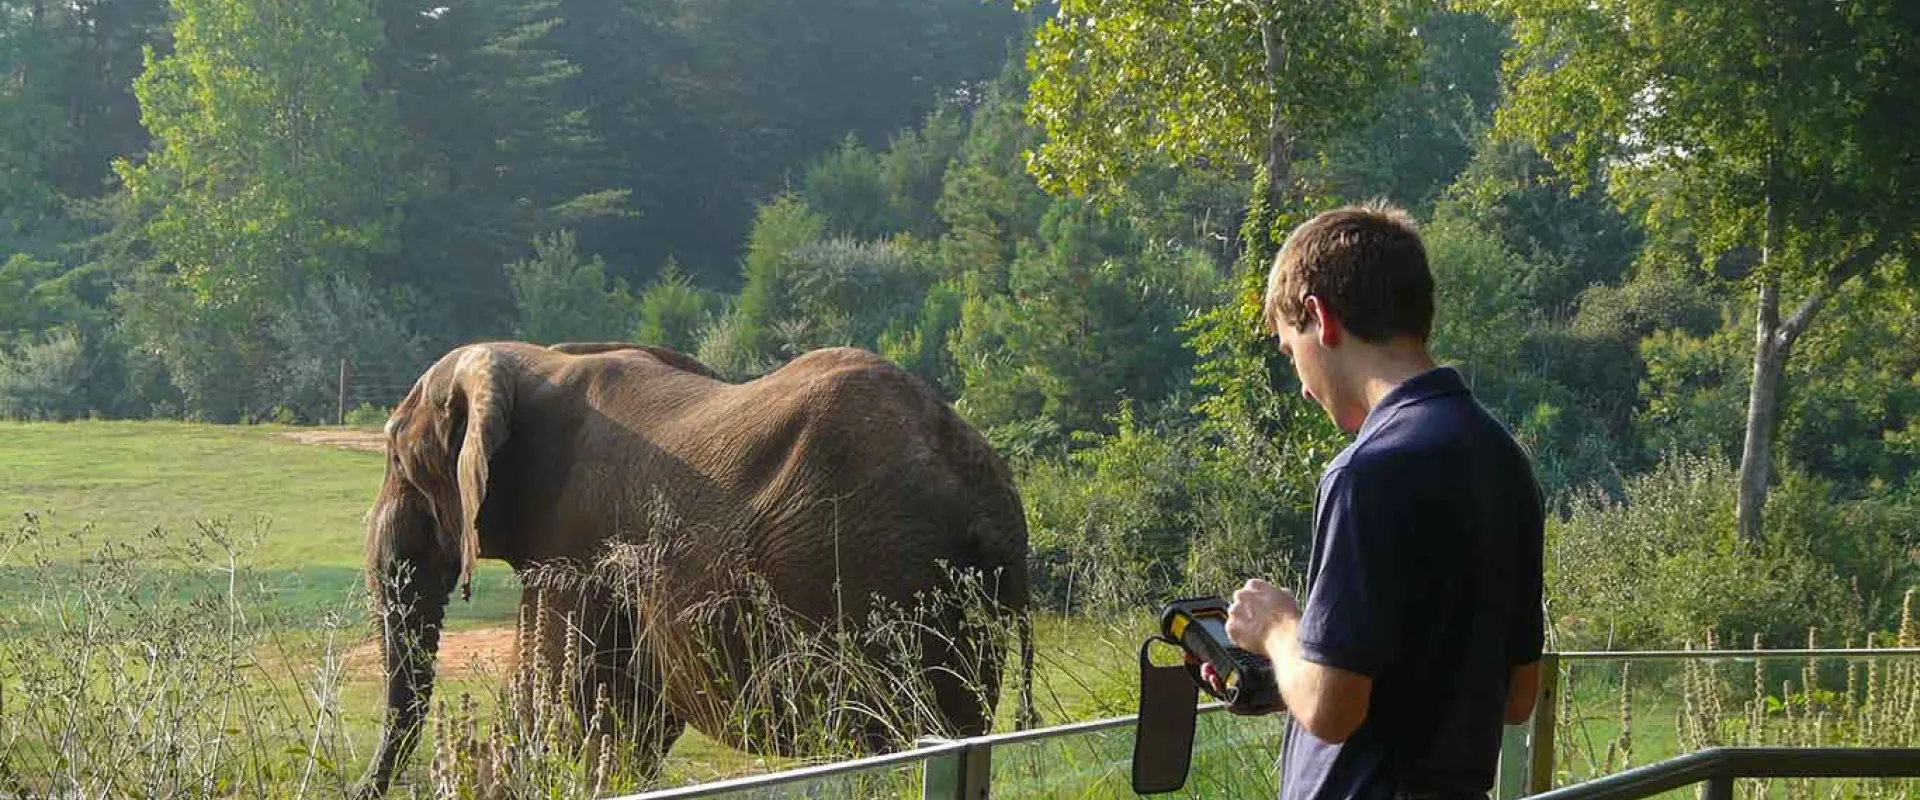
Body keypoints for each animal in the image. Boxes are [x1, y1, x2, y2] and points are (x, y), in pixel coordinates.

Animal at [352, 341, 1034, 798]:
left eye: (396, 460)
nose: (362, 788)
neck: (535, 361)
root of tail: (990, 494)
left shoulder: (574, 547)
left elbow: (552, 700)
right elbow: (625, 718)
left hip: (872, 571)